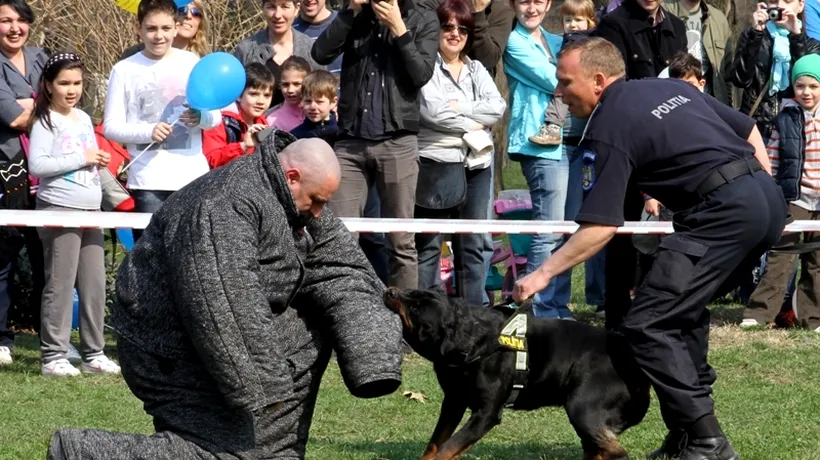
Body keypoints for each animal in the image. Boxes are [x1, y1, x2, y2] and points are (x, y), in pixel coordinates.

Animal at [382, 288, 652, 460]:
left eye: (415, 308)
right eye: (412, 292)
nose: (390, 290)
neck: (471, 342)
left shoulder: (485, 415)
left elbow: (448, 448)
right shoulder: (453, 402)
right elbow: (435, 444)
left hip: (582, 408)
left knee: (617, 453)